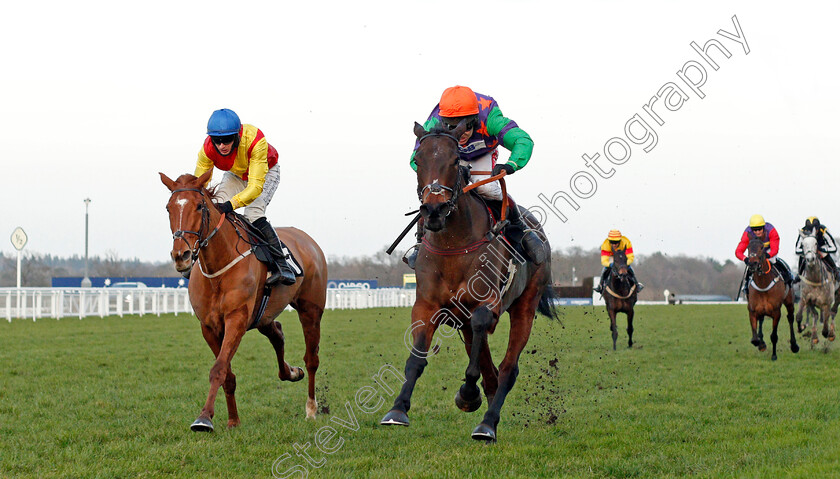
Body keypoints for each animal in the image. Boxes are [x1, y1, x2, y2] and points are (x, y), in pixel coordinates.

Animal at [159, 172, 326, 432]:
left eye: (199, 206)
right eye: (169, 208)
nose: (181, 256)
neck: (218, 268)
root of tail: (308, 240)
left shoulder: (236, 318)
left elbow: (218, 368)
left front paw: (203, 418)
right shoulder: (209, 327)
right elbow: (227, 374)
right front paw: (233, 420)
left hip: (311, 310)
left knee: (311, 359)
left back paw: (311, 408)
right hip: (263, 315)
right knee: (277, 334)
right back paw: (291, 372)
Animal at [378, 122, 560, 444]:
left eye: (454, 161)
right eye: (418, 160)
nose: (433, 211)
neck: (454, 245)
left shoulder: (488, 305)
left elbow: (479, 345)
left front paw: (467, 392)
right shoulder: (427, 305)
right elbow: (416, 359)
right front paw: (397, 410)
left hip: (526, 305)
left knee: (507, 368)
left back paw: (487, 424)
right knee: (490, 368)